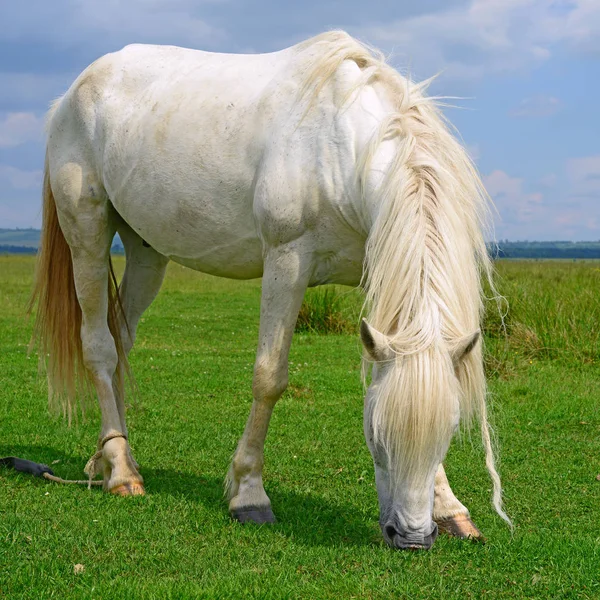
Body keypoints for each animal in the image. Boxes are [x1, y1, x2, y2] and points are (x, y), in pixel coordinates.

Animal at [30, 31, 508, 548]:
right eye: (376, 436)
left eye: (450, 432)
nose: (412, 537)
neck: (341, 148)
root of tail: (72, 93)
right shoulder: (287, 261)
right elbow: (269, 378)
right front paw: (248, 494)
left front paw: (450, 507)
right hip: (87, 233)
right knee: (100, 346)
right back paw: (119, 470)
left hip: (147, 251)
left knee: (121, 339)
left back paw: (112, 457)